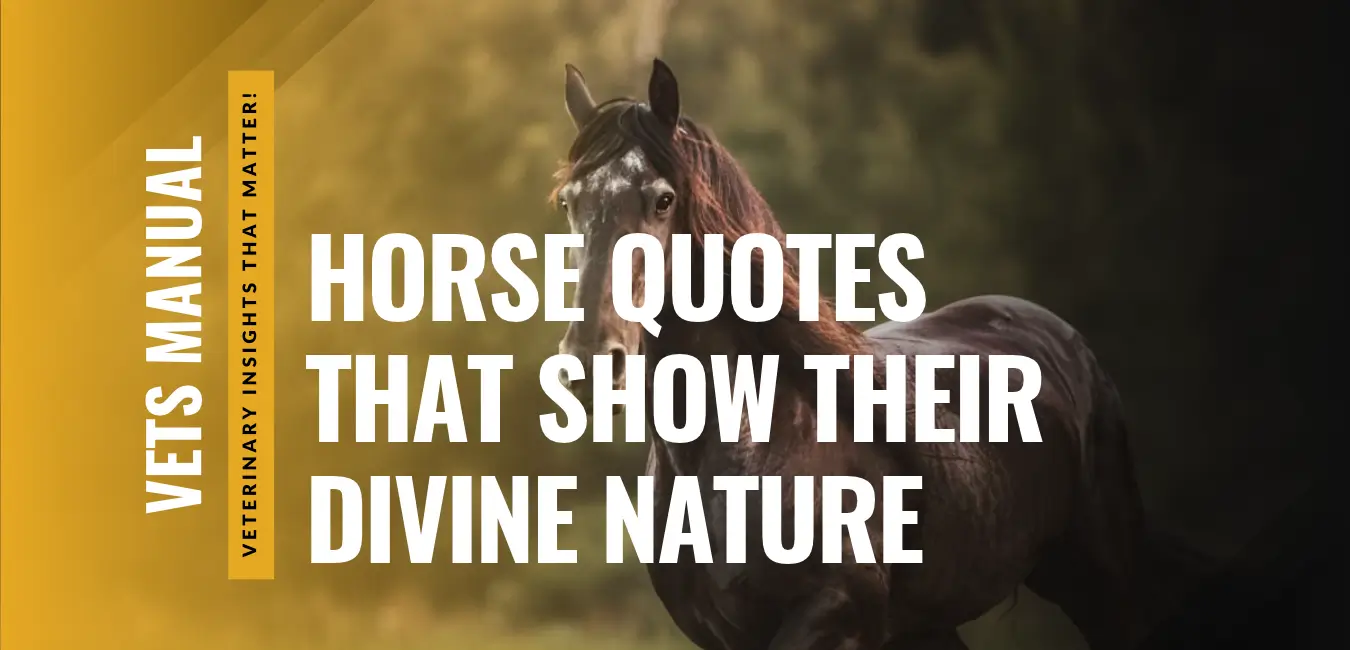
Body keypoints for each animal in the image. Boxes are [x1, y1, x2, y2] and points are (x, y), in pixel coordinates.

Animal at [550, 59, 1175, 650]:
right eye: (568, 203)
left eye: (663, 200)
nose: (591, 362)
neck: (751, 441)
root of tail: (1058, 334)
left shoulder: (836, 618)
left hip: (1105, 588)